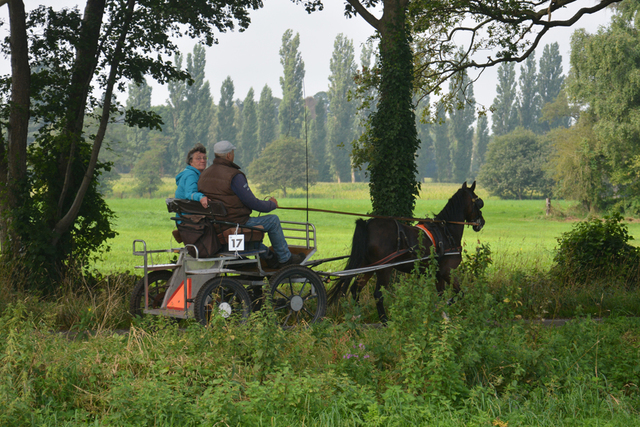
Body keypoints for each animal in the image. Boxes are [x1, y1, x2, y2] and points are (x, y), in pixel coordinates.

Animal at [330, 180, 484, 320]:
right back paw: (385, 321)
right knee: (378, 294)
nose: (481, 222)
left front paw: (443, 318)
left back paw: (357, 316)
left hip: (368, 266)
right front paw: (444, 309)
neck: (446, 231)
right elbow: (459, 294)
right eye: (479, 202)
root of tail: (368, 225)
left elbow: (440, 295)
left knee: (356, 289)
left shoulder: (437, 274)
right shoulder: (447, 271)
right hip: (384, 269)